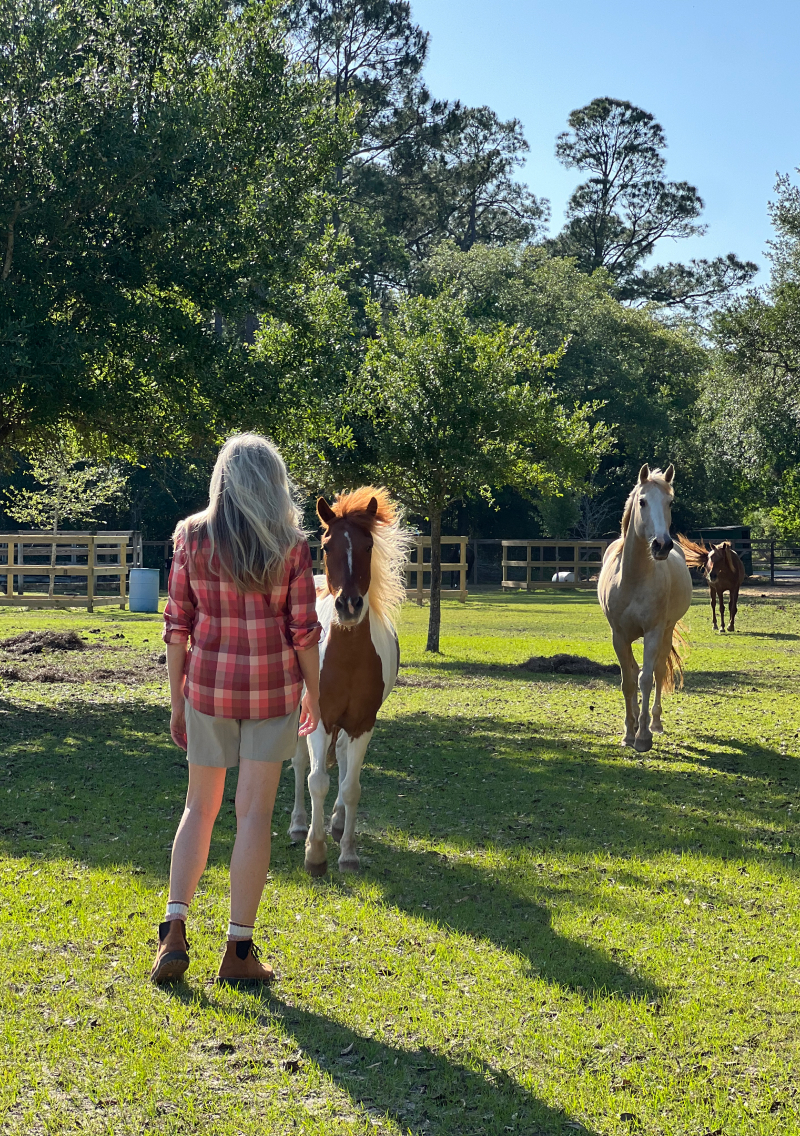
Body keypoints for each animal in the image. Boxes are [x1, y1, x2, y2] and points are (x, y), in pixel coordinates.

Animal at [288, 483, 413, 872]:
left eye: (368, 546)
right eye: (327, 546)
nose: (349, 606)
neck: (348, 659)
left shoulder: (362, 723)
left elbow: (351, 785)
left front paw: (348, 852)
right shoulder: (319, 719)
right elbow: (316, 781)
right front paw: (315, 853)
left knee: (343, 762)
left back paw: (339, 822)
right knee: (300, 764)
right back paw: (298, 825)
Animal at [600, 465, 695, 749]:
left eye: (670, 502)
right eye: (642, 501)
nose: (662, 545)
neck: (632, 578)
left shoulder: (653, 632)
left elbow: (646, 678)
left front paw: (643, 736)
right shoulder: (619, 636)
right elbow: (628, 681)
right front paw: (628, 733)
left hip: (667, 630)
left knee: (659, 671)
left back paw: (655, 723)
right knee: (634, 671)